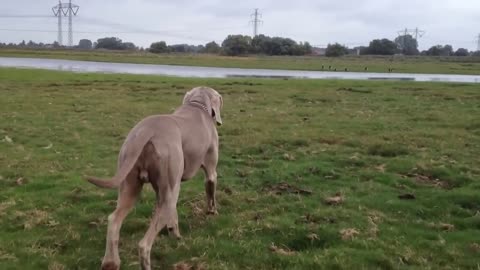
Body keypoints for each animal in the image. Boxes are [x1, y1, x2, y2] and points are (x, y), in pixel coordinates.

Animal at [86, 86, 223, 270]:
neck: (197, 105)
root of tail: (146, 130)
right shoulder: (210, 172)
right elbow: (211, 192)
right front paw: (212, 213)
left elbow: (174, 216)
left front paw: (175, 233)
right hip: (168, 193)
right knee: (144, 245)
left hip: (131, 184)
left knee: (113, 220)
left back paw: (111, 263)